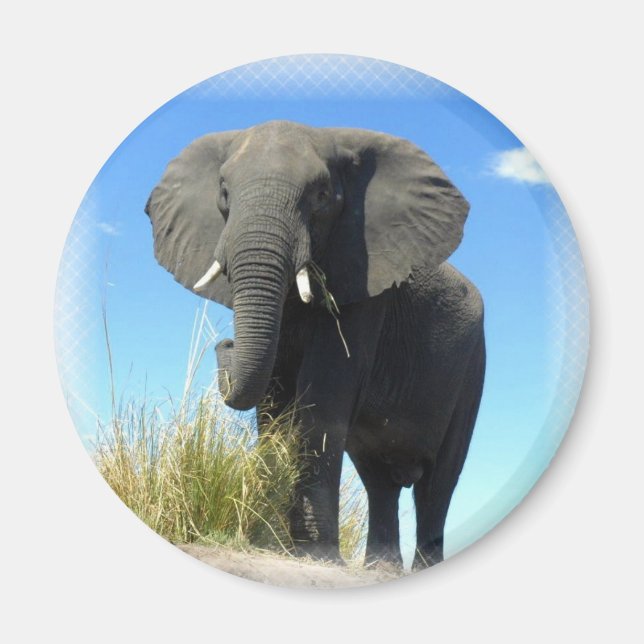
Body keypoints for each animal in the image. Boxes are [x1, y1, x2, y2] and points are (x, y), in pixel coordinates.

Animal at [145, 120, 485, 569]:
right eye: (223, 193)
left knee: (438, 482)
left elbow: (323, 394)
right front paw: (273, 546)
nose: (226, 342)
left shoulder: (364, 282)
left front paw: (314, 554)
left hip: (472, 366)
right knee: (379, 480)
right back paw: (379, 569)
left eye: (322, 196)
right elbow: (273, 399)